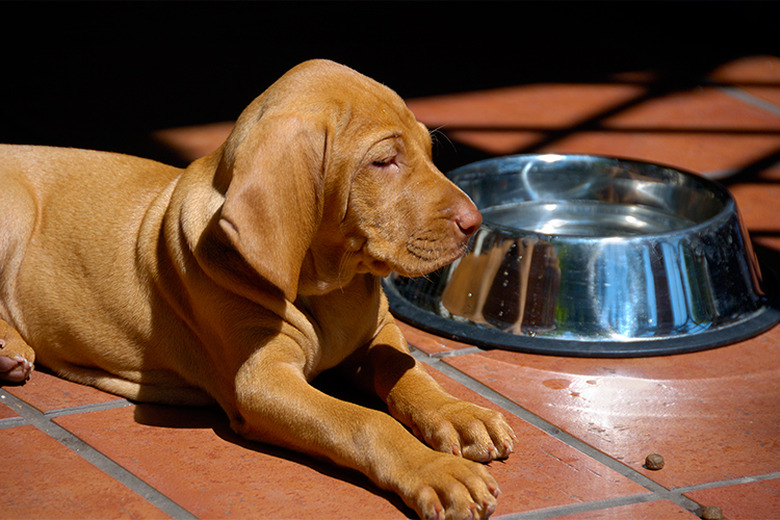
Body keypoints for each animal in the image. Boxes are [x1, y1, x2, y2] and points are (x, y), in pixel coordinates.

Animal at [1, 60, 516, 516]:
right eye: (384, 161)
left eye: (428, 151)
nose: (475, 223)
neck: (328, 286)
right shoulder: (263, 381)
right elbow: (364, 422)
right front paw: (436, 470)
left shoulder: (379, 331)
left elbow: (406, 368)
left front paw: (459, 413)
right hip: (15, 209)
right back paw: (10, 348)